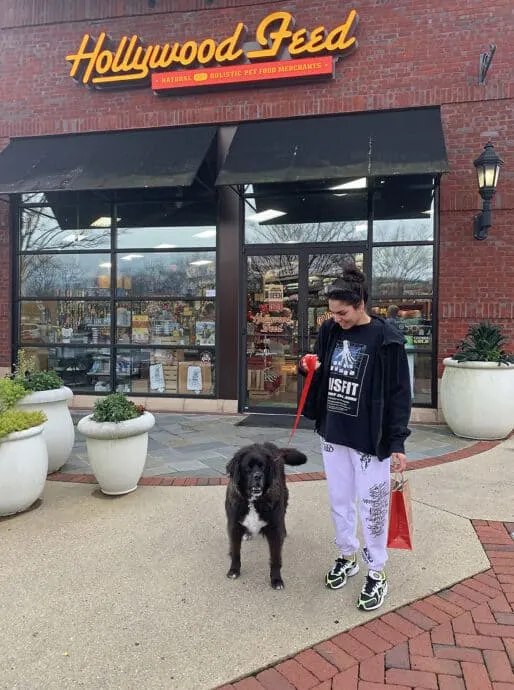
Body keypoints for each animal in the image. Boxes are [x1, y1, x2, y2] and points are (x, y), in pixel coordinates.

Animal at [223, 440, 304, 584]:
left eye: (263, 467)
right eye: (248, 467)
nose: (258, 476)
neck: (253, 501)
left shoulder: (275, 530)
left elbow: (276, 558)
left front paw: (276, 579)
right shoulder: (234, 527)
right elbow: (235, 552)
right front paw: (234, 570)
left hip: (284, 498)